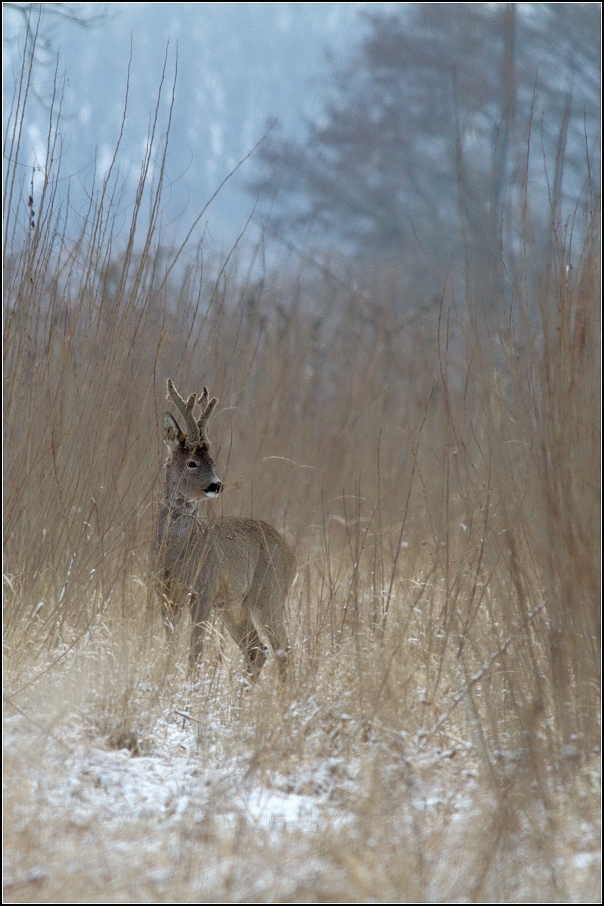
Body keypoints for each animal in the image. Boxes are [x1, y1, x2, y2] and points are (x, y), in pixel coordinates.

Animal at [155, 378, 294, 680]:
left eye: (213, 462)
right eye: (192, 462)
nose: (216, 484)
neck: (179, 551)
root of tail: (292, 554)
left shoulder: (204, 590)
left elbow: (195, 652)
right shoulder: (165, 592)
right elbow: (169, 647)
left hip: (268, 593)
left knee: (283, 648)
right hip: (235, 606)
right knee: (257, 651)